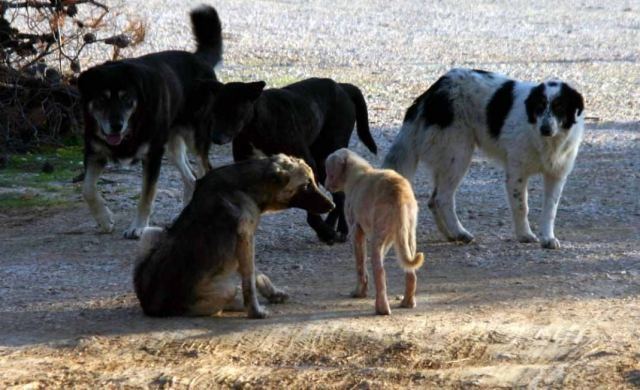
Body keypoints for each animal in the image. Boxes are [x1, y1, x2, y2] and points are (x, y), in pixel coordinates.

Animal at [78, 5, 222, 238]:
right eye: (101, 99)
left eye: (127, 99)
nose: (116, 126)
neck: (131, 126)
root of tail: (199, 59)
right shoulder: (94, 153)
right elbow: (87, 189)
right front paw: (104, 220)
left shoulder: (152, 155)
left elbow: (146, 196)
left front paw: (137, 227)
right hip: (172, 145)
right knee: (191, 179)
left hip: (195, 137)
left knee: (205, 170)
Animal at [135, 154, 336, 318]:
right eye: (306, 185)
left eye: (313, 181)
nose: (333, 205)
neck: (247, 186)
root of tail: (151, 306)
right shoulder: (245, 238)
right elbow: (249, 280)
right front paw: (255, 311)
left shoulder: (245, 243)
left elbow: (256, 274)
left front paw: (272, 294)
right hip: (225, 289)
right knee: (223, 303)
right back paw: (239, 305)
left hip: (152, 232)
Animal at [198, 78, 378, 244]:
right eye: (214, 111)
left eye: (234, 111)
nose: (215, 137)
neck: (256, 126)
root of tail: (342, 86)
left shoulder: (308, 164)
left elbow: (312, 206)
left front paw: (324, 231)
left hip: (326, 156)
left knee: (340, 195)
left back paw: (340, 230)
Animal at [324, 148, 424, 316]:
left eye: (328, 172)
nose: (325, 185)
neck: (357, 171)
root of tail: (399, 193)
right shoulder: (390, 238)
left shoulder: (356, 231)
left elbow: (360, 265)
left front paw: (359, 292)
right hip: (408, 235)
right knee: (410, 272)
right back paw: (408, 302)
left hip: (379, 236)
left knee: (379, 270)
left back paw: (382, 308)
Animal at [384, 68, 584, 248]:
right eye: (539, 106)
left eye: (560, 107)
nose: (545, 129)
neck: (546, 140)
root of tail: (433, 90)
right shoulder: (516, 173)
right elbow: (521, 207)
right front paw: (524, 235)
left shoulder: (556, 175)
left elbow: (550, 210)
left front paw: (548, 238)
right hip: (458, 154)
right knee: (442, 198)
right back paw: (460, 232)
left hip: (448, 159)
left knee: (433, 200)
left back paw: (450, 234)